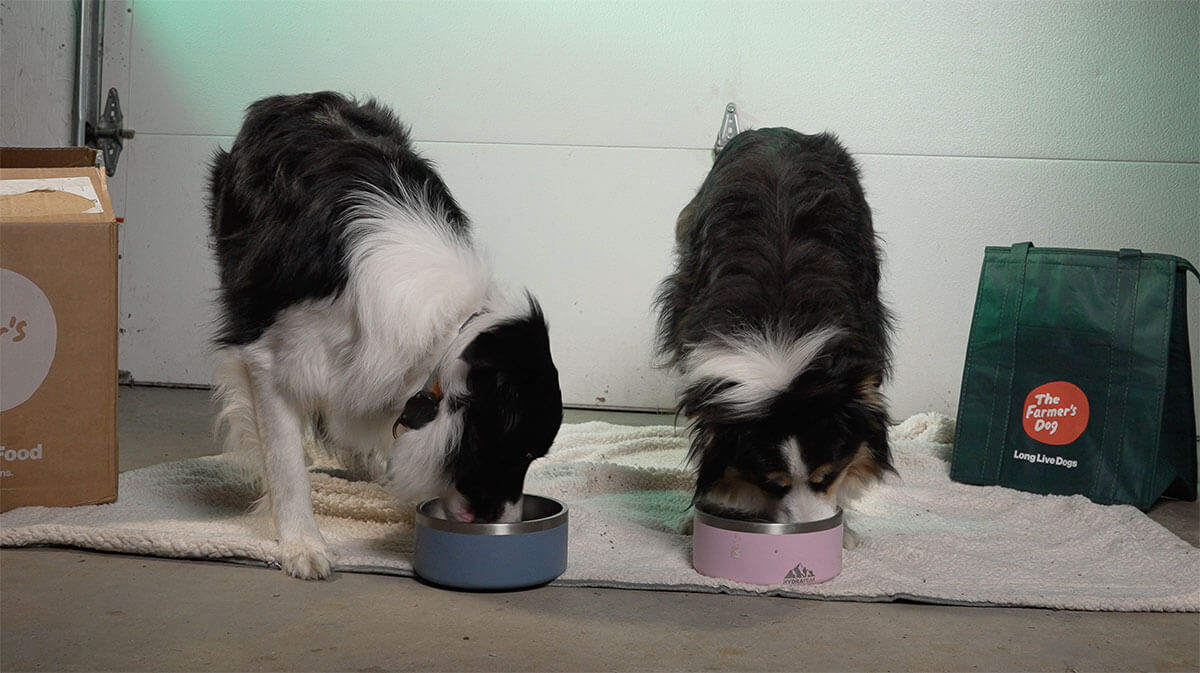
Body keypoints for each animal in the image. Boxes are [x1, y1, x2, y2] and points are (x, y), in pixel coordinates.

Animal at [210, 91, 561, 578]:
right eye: (523, 451)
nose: (507, 523)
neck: (449, 332)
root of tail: (295, 97)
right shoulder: (268, 356)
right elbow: (285, 461)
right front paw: (302, 545)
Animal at [657, 127, 892, 535]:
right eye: (771, 484)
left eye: (827, 475)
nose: (809, 532)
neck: (779, 329)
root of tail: (778, 130)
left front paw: (843, 529)